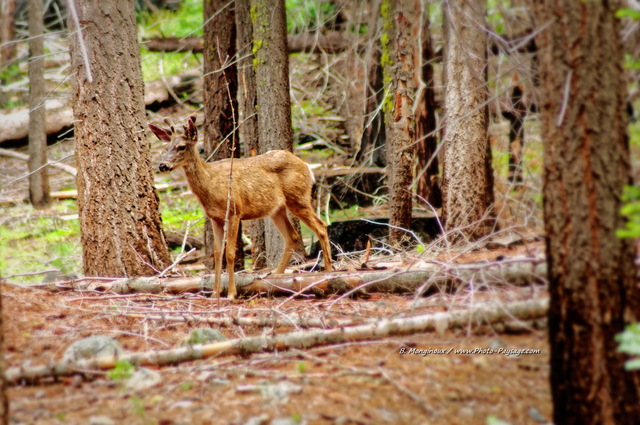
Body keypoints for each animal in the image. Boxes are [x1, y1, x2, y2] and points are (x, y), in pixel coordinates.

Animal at [148, 114, 332, 300]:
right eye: (166, 147)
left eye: (181, 147)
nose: (162, 165)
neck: (211, 184)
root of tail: (307, 167)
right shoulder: (215, 217)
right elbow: (217, 254)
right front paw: (215, 293)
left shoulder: (234, 212)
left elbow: (229, 253)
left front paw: (231, 293)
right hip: (276, 209)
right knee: (293, 236)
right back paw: (277, 278)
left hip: (298, 198)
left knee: (321, 227)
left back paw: (328, 273)